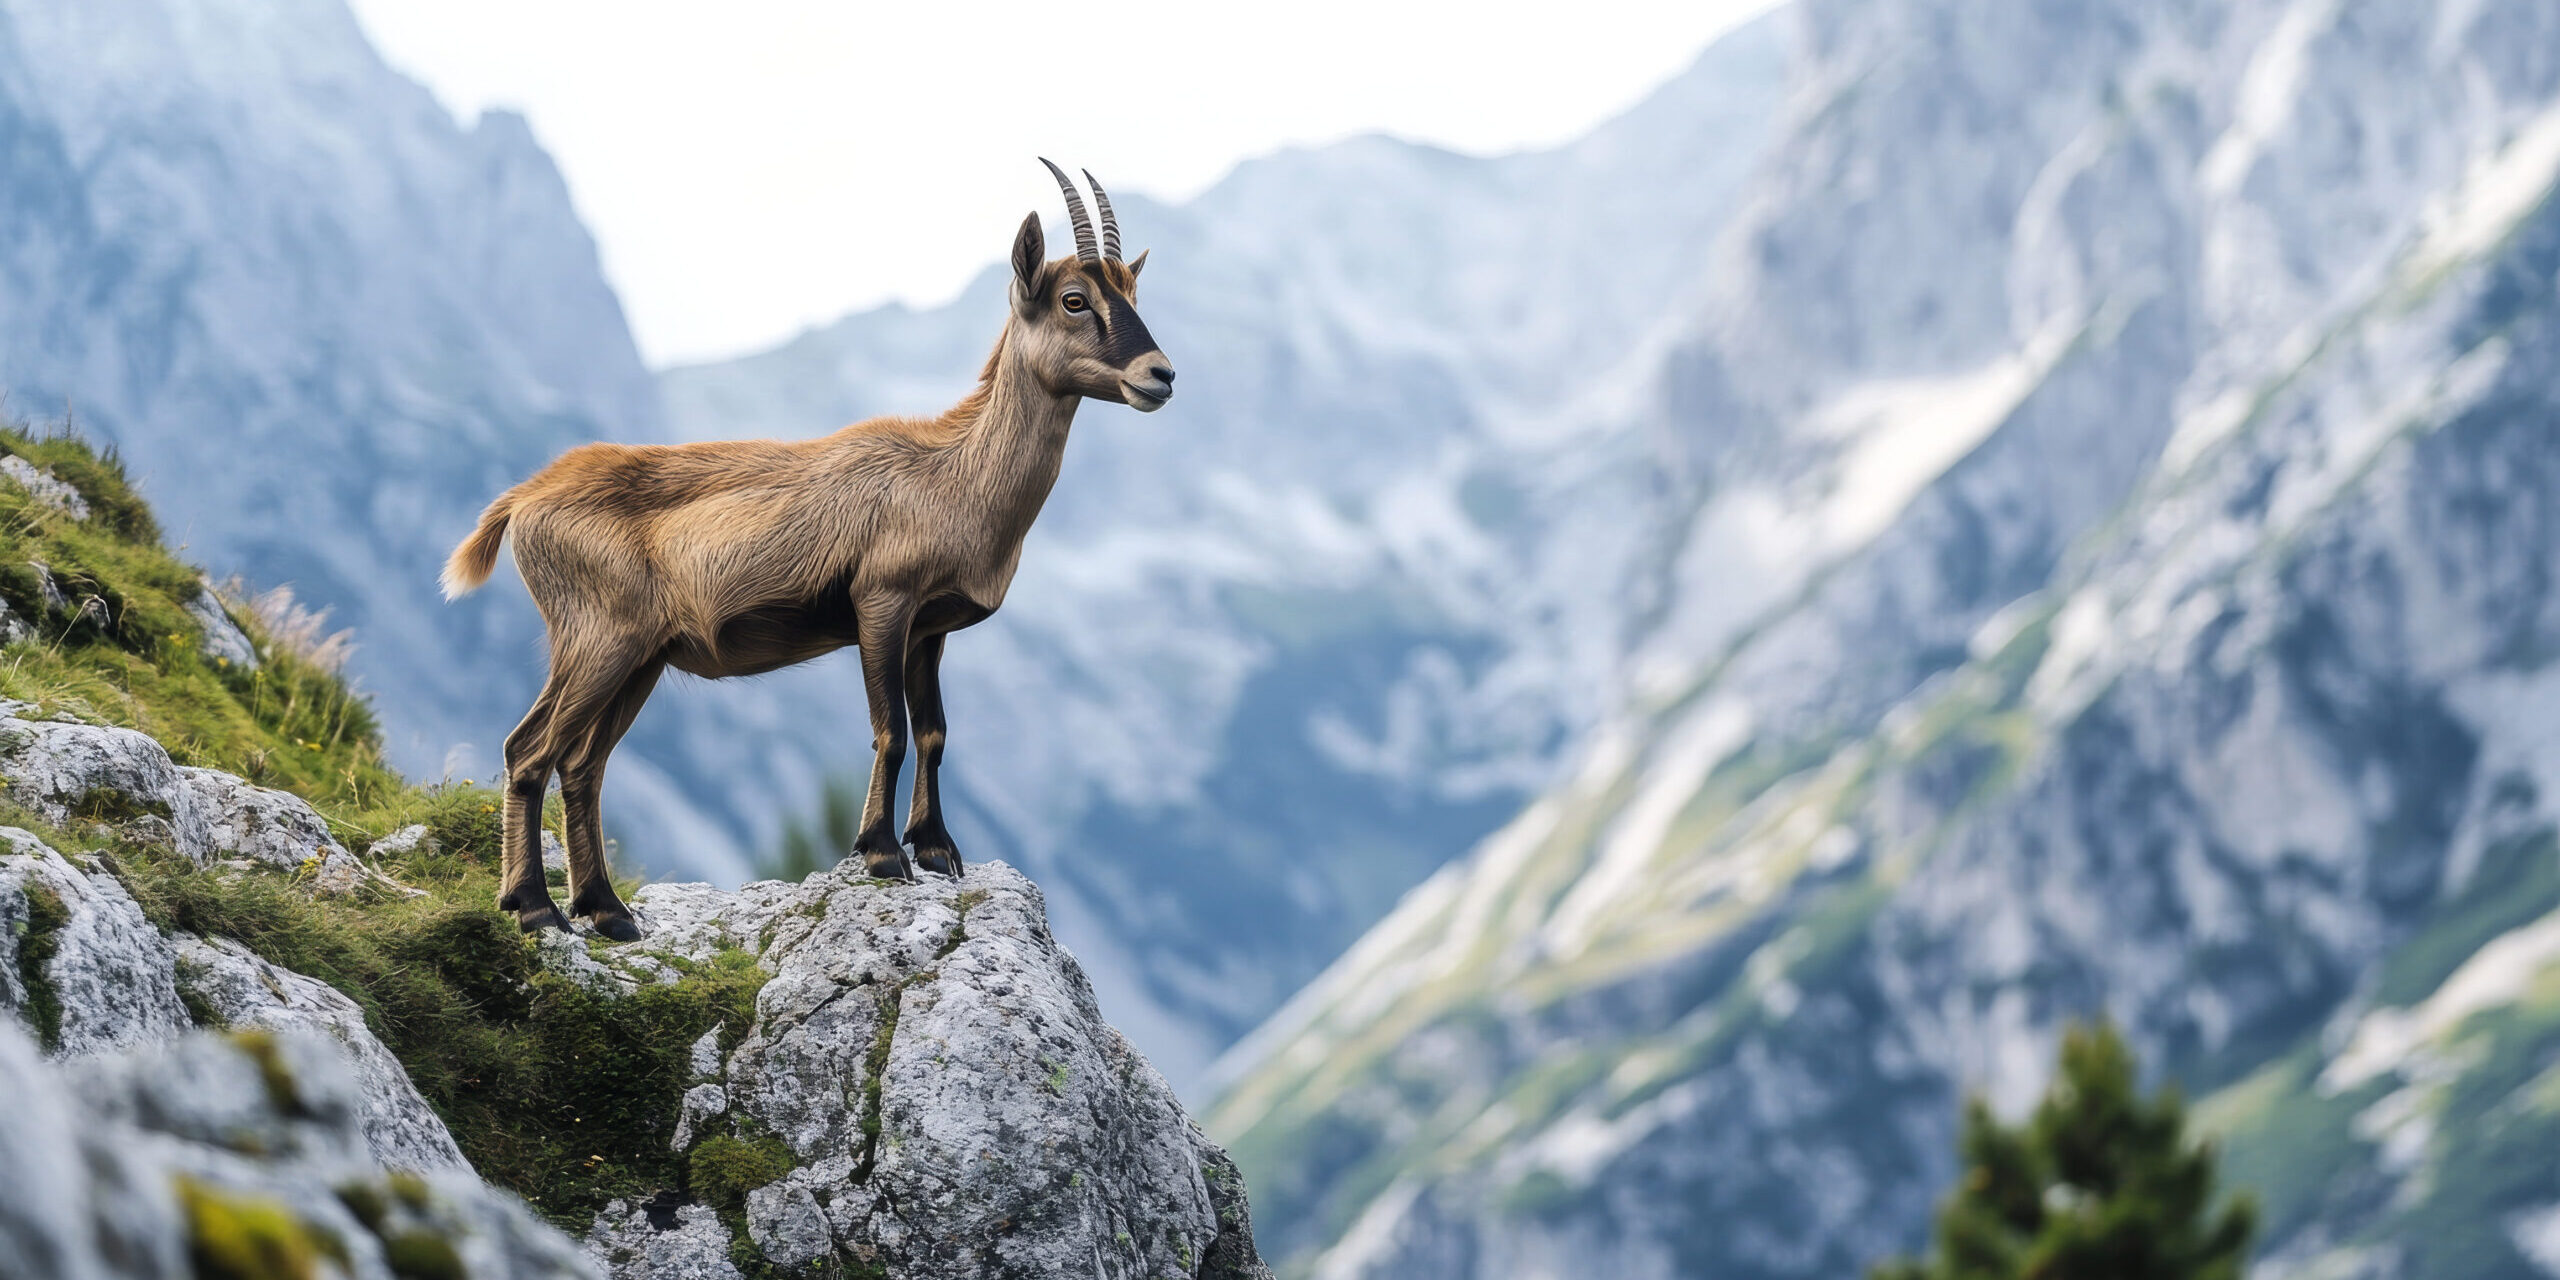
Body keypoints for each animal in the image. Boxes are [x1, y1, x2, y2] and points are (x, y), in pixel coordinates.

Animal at [442, 162, 1174, 939]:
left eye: (1131, 293)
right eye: (1074, 299)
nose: (1160, 375)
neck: (953, 478)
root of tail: (522, 500)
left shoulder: (931, 630)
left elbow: (935, 732)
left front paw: (936, 848)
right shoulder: (881, 603)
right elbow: (891, 729)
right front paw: (882, 852)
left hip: (639, 657)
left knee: (582, 763)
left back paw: (608, 912)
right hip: (597, 636)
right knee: (530, 750)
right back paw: (534, 906)